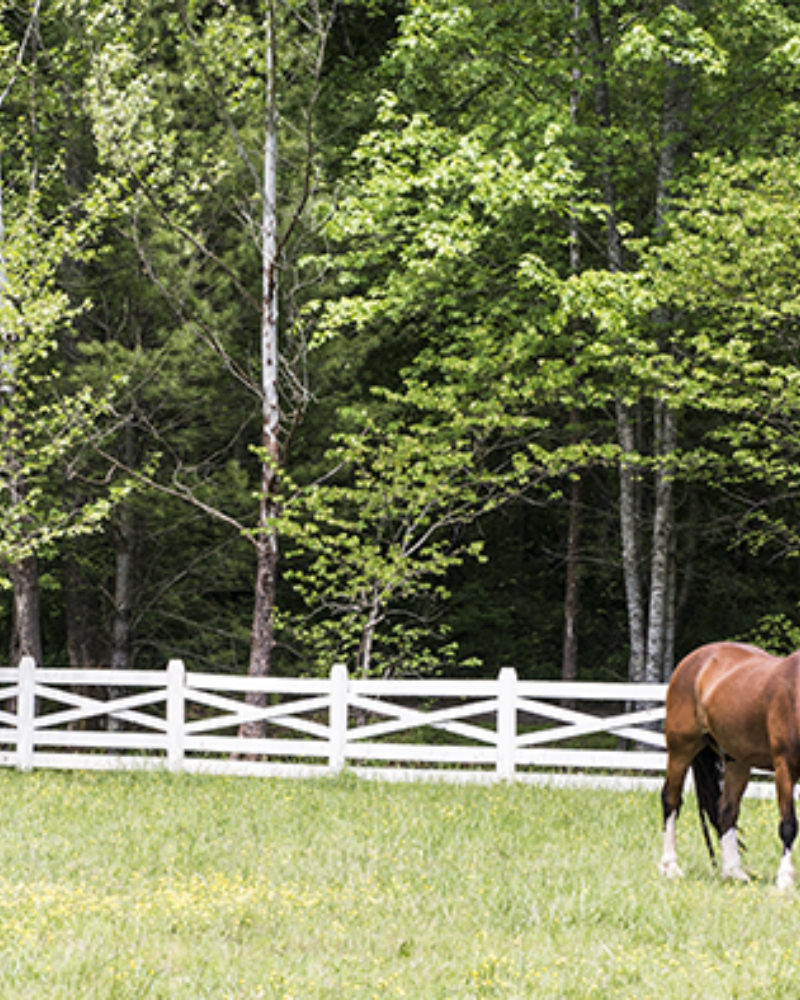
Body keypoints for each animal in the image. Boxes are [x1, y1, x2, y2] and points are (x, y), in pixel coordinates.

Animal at [658, 640, 800, 890]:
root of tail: (694, 659)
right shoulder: (785, 767)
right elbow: (789, 824)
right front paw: (785, 879)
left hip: (737, 761)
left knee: (726, 810)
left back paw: (734, 872)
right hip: (681, 749)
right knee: (671, 800)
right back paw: (670, 867)